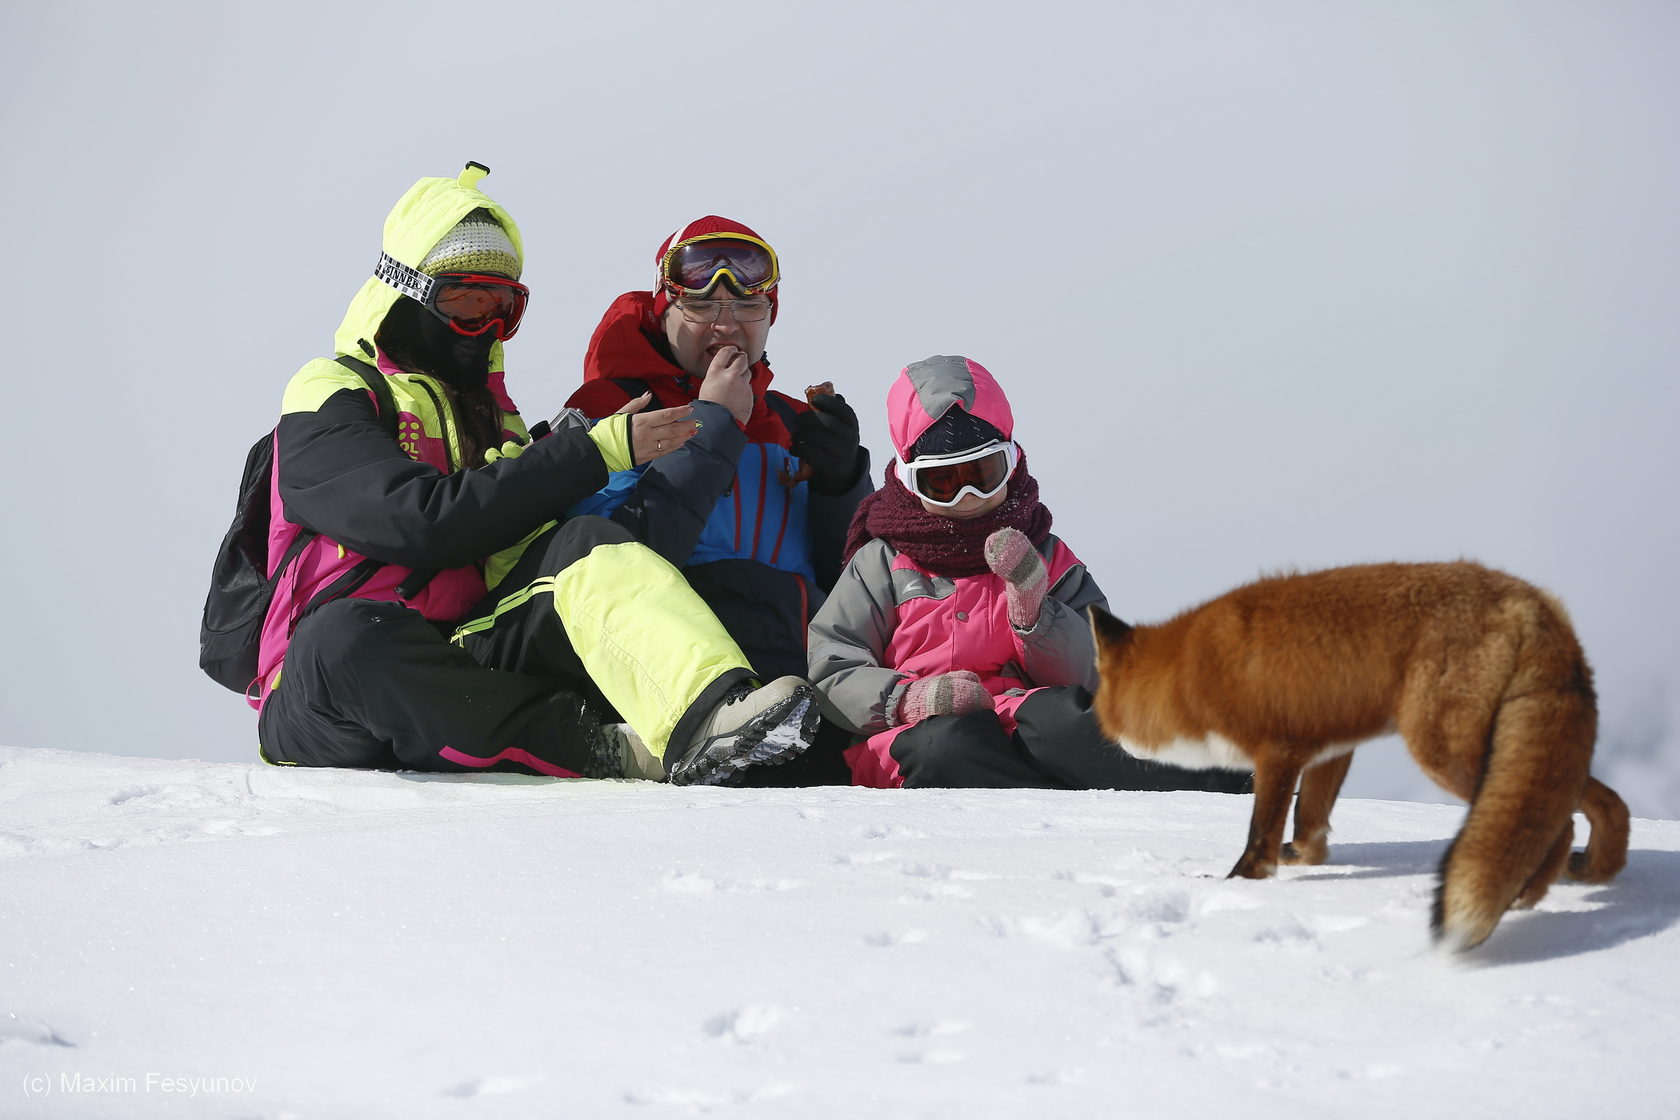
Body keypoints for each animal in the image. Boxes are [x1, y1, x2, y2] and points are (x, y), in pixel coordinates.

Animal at [1088, 564, 1626, 953]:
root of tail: (1533, 601)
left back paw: (1527, 895)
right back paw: (1588, 872)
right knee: (1606, 803)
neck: (1189, 669)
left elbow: (1261, 832)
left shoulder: (1276, 750)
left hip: (1448, 751)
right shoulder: (1329, 747)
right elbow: (1310, 820)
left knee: (1562, 821)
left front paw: (1239, 885)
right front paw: (1303, 858)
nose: (1110, 741)